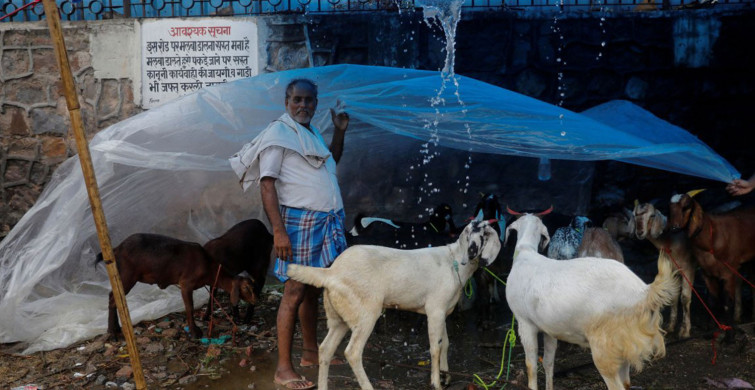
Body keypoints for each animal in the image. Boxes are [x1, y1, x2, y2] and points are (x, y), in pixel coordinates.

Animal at [96, 233, 256, 340]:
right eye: (246, 288)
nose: (255, 301)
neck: (208, 267)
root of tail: (116, 248)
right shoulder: (186, 284)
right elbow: (189, 307)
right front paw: (195, 332)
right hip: (127, 276)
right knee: (113, 298)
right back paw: (112, 333)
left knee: (114, 297)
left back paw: (116, 328)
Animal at [288, 221, 502, 388]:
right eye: (474, 233)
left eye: (485, 233)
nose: (473, 253)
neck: (454, 261)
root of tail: (331, 273)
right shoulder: (435, 310)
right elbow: (435, 347)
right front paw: (436, 383)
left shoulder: (443, 311)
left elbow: (446, 344)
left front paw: (445, 376)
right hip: (365, 313)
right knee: (353, 352)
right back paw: (368, 386)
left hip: (339, 316)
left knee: (325, 349)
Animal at [504, 213, 676, 390]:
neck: (526, 252)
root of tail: (644, 291)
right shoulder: (549, 328)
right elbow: (548, 363)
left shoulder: (524, 322)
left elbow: (530, 365)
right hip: (623, 345)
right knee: (626, 383)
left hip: (605, 346)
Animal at [672, 193, 755, 324]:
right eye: (670, 208)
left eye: (686, 207)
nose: (674, 228)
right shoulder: (708, 274)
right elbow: (713, 301)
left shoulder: (728, 273)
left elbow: (727, 303)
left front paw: (728, 327)